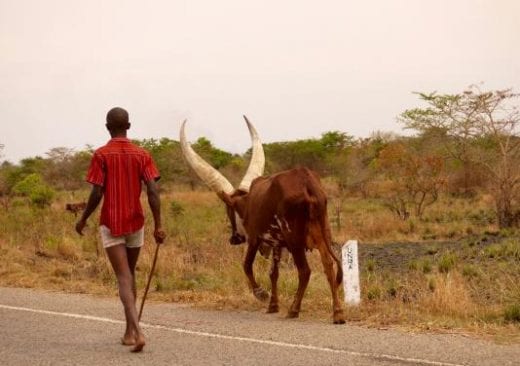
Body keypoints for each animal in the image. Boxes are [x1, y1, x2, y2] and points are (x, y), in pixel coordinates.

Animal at [180, 116, 346, 324]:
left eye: (229, 210)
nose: (234, 238)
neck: (248, 202)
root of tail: (307, 182)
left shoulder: (254, 238)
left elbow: (246, 265)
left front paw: (261, 294)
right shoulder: (276, 243)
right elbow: (273, 273)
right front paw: (273, 305)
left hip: (295, 239)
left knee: (305, 271)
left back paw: (294, 309)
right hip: (322, 233)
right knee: (328, 266)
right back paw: (337, 313)